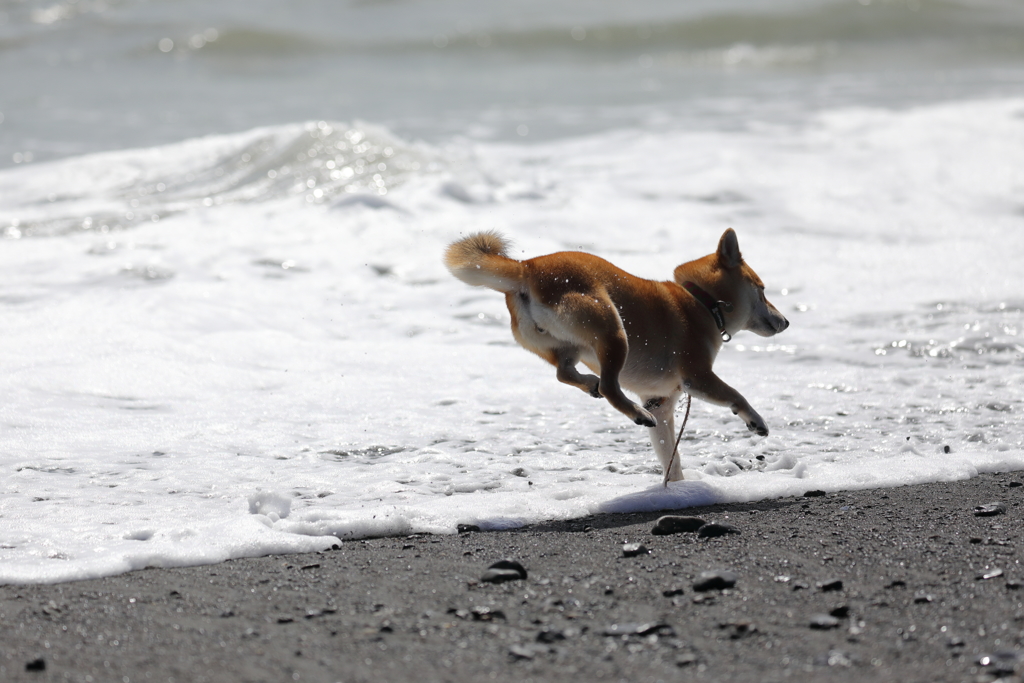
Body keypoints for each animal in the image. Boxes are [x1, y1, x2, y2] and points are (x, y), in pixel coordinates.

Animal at [444, 229, 786, 481]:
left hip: (565, 345)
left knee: (564, 372)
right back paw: (634, 412)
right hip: (614, 331)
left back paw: (591, 384)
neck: (700, 303)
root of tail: (527, 268)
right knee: (610, 386)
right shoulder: (697, 376)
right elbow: (736, 395)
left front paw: (676, 487)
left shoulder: (661, 400)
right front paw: (755, 420)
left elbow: (670, 456)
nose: (786, 321)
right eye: (762, 290)